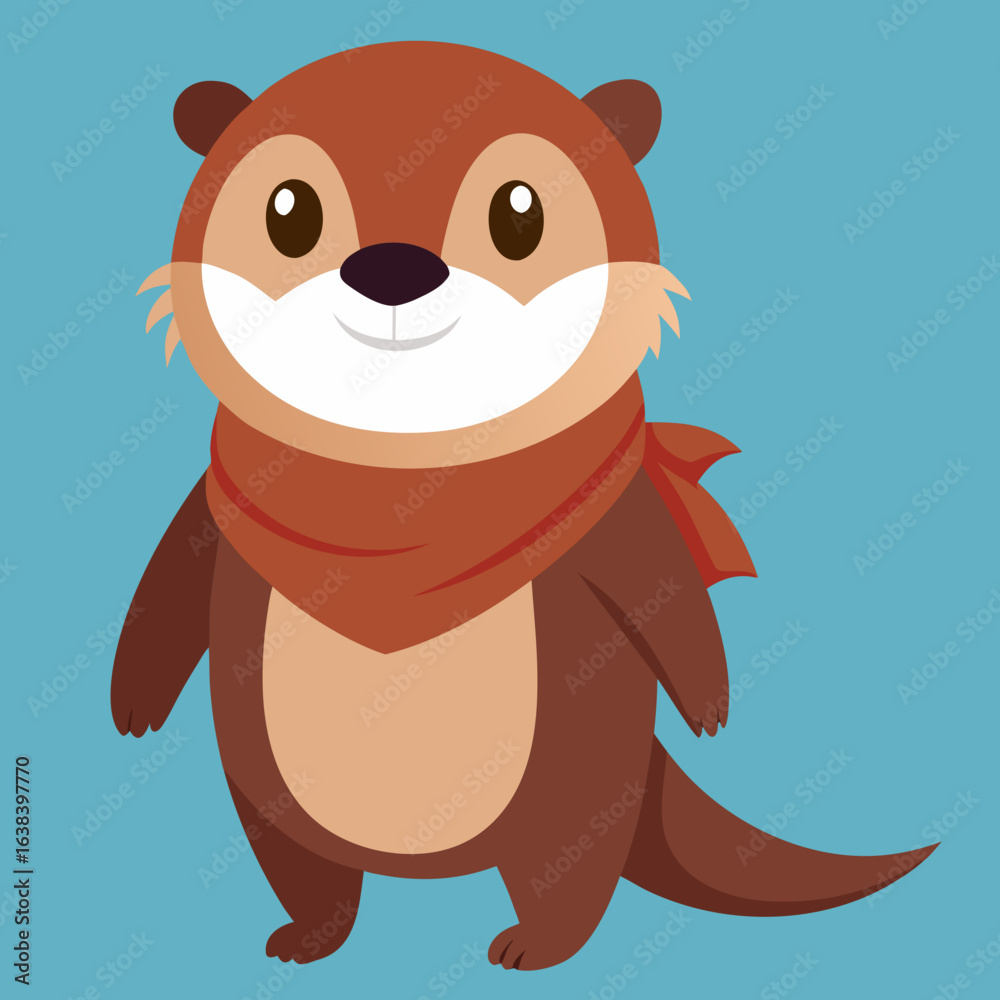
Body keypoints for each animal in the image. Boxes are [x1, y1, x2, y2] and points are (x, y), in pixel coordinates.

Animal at [111, 41, 935, 972]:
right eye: (290, 211)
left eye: (520, 215)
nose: (392, 267)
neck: (408, 474)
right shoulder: (213, 504)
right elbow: (169, 579)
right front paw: (133, 708)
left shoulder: (616, 522)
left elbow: (662, 586)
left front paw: (710, 705)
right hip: (267, 789)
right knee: (303, 865)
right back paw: (310, 936)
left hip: (578, 777)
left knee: (568, 866)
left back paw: (535, 946)